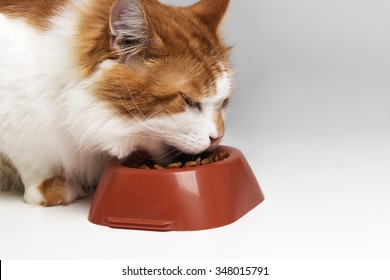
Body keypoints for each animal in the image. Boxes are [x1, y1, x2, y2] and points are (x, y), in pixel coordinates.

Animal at [0, 0, 232, 206]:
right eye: (187, 100)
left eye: (224, 101)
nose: (218, 137)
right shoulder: (15, 120)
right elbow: (33, 158)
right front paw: (53, 186)